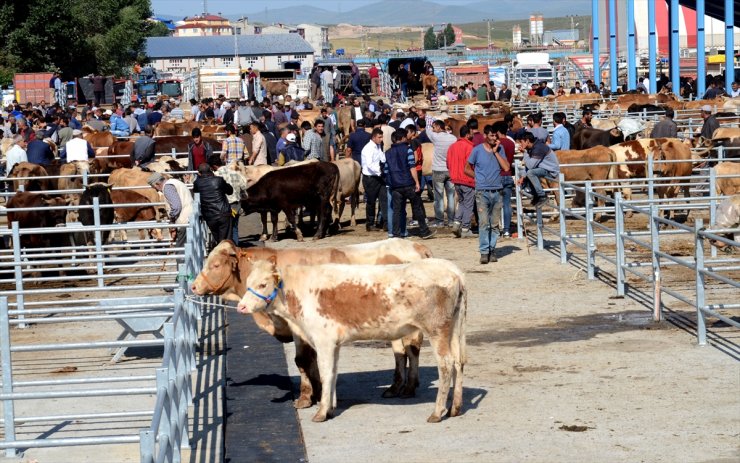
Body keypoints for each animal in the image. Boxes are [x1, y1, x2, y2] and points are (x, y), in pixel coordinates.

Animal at [191, 237, 434, 408]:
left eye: (215, 265)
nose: (193, 286)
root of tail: (415, 245)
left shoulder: (297, 327)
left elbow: (302, 360)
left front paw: (306, 397)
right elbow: (313, 360)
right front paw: (319, 392)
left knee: (412, 347)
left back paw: (409, 387)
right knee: (399, 351)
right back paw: (395, 387)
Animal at [237, 258, 468, 424]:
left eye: (263, 284)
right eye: (247, 284)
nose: (241, 307)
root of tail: (451, 268)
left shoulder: (324, 341)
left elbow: (325, 374)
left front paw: (321, 412)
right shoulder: (334, 344)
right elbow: (333, 373)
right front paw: (330, 408)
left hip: (437, 330)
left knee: (446, 365)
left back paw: (437, 412)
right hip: (453, 329)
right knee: (458, 362)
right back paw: (455, 408)